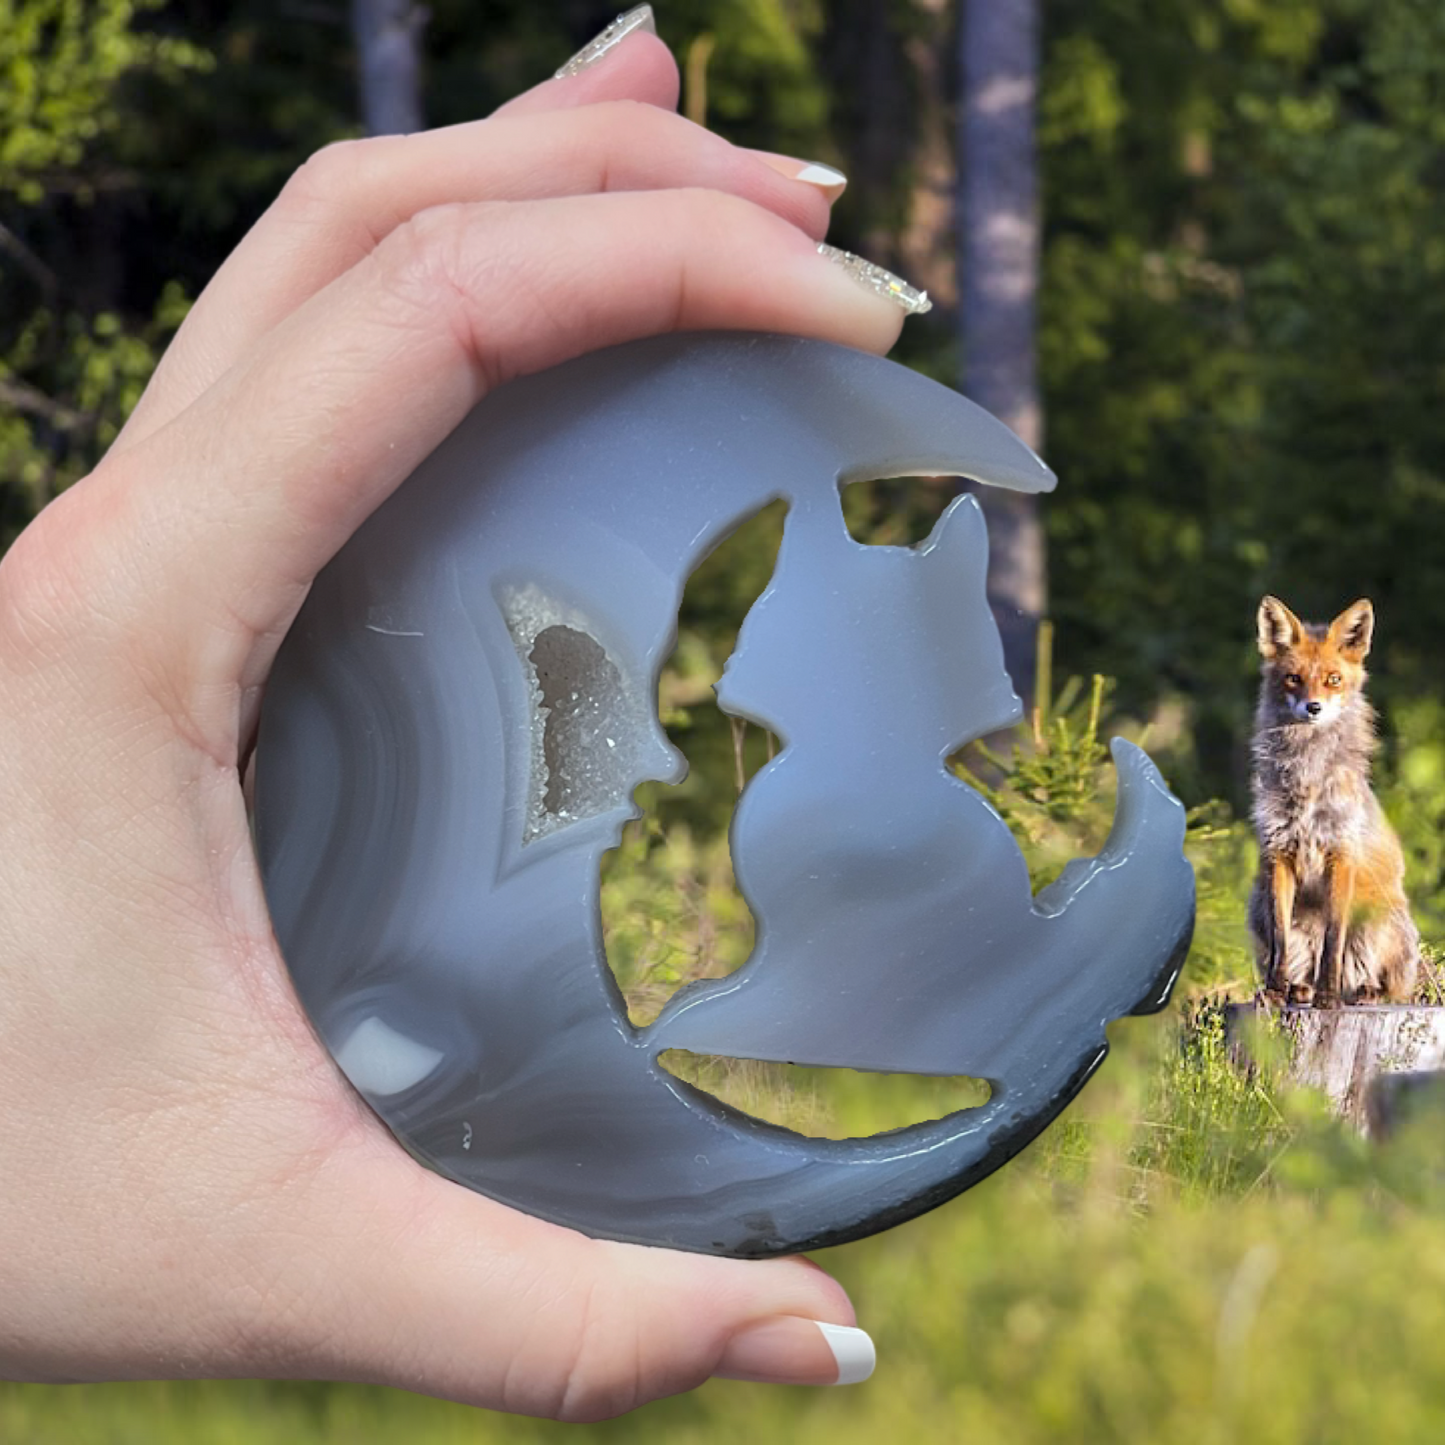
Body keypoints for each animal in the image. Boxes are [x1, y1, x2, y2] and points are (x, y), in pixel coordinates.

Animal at [1249, 594, 1419, 1007]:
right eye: (1293, 679)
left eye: (1333, 679)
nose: (1313, 708)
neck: (1308, 779)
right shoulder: (1280, 853)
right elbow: (1280, 941)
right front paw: (1274, 992)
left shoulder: (1340, 854)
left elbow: (1333, 940)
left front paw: (1328, 998)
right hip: (1257, 902)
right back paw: (1299, 988)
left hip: (1381, 918)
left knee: (1387, 984)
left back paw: (1363, 991)